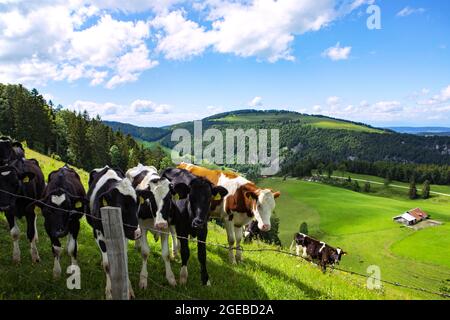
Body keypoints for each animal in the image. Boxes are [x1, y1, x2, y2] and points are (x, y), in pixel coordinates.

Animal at [87, 166, 143, 298]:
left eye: (138, 203)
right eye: (120, 206)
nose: (137, 233)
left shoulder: (124, 235)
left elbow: (124, 259)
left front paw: (128, 289)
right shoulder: (98, 233)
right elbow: (108, 265)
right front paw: (109, 291)